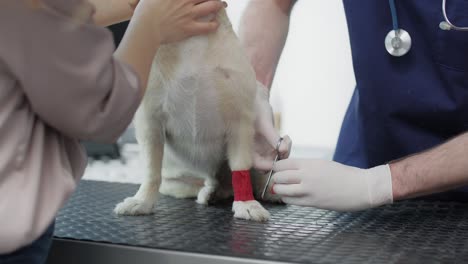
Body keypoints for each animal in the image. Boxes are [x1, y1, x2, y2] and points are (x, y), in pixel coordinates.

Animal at [114, 8, 276, 221]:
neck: (191, 36)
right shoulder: (150, 121)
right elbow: (151, 170)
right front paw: (143, 201)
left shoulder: (240, 121)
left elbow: (240, 169)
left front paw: (246, 203)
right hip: (179, 182)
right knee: (212, 185)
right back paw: (211, 192)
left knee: (252, 178)